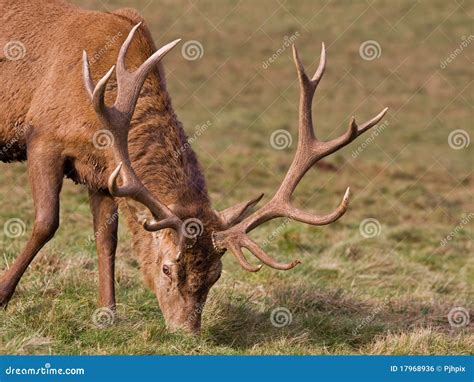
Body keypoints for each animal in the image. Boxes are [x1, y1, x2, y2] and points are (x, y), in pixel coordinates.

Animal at [0, 0, 386, 332]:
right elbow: (46, 223)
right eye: (168, 268)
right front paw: (3, 296)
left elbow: (106, 239)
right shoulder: (43, 138)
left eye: (216, 274)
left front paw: (108, 314)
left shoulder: (102, 174)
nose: (187, 332)